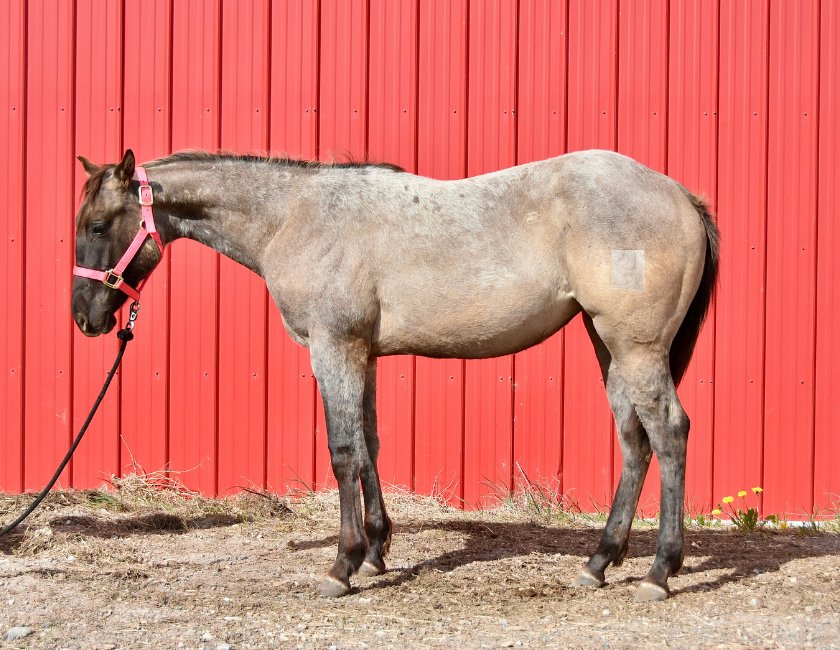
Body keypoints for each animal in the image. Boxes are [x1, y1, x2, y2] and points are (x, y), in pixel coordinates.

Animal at [72, 148, 719, 602]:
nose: (85, 317)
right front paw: (378, 549)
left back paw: (659, 571)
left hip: (635, 346)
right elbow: (369, 444)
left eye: (99, 225)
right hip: (608, 345)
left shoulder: (333, 347)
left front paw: (342, 565)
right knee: (635, 441)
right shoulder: (364, 353)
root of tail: (677, 194)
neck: (294, 216)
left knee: (670, 432)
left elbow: (342, 452)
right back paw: (600, 562)